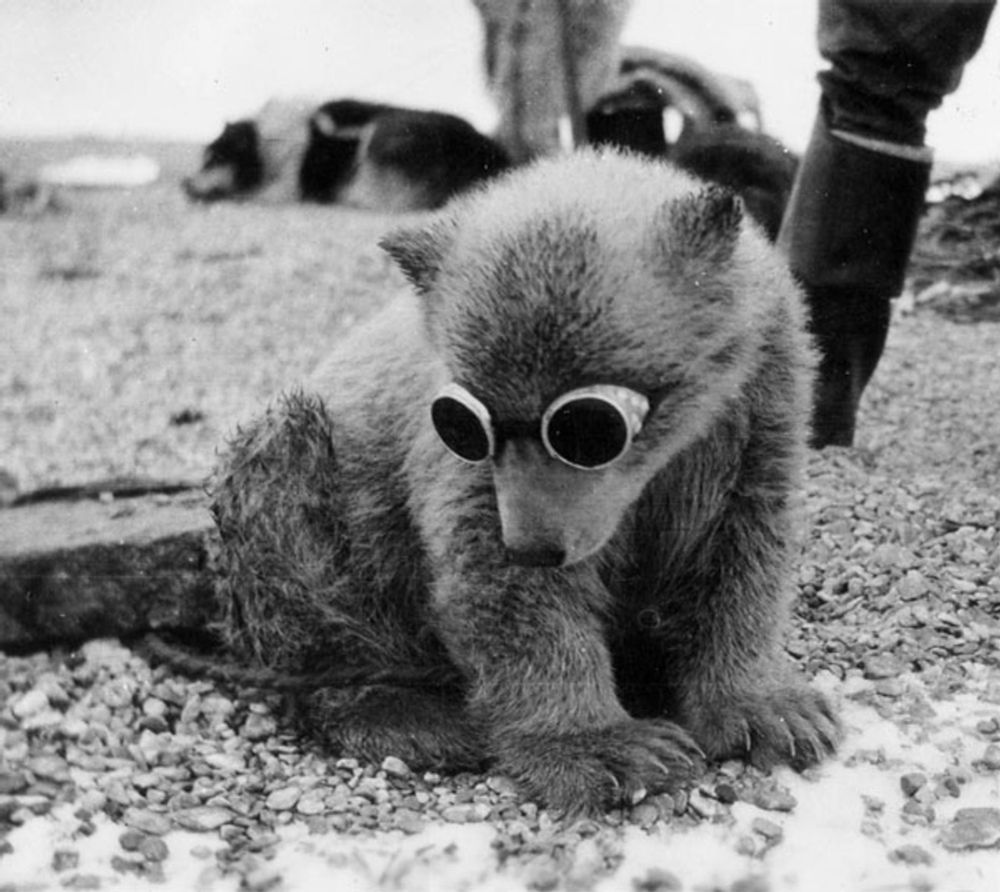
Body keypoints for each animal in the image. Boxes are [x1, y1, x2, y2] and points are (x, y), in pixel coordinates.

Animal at [211, 148, 839, 816]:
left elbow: (744, 547)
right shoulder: (460, 455)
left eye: (590, 425)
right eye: (467, 420)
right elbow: (501, 585)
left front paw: (775, 714)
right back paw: (414, 716)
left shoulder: (760, 404)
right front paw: (614, 750)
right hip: (309, 504)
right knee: (292, 538)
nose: (535, 545)